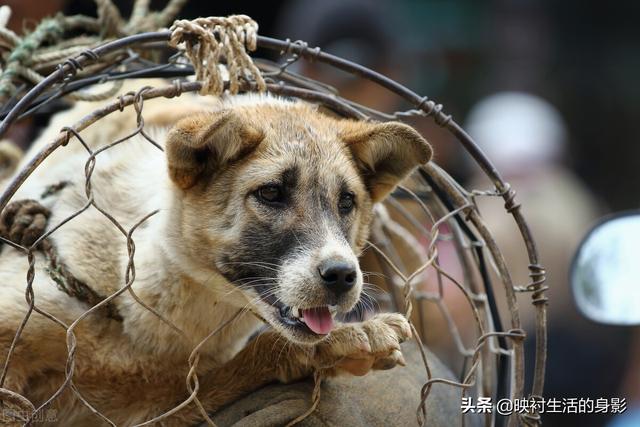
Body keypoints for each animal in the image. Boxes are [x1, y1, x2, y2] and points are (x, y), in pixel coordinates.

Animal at [0, 88, 432, 426]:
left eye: (346, 202)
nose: (342, 275)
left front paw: (340, 342)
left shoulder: (150, 406)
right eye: (271, 193)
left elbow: (255, 356)